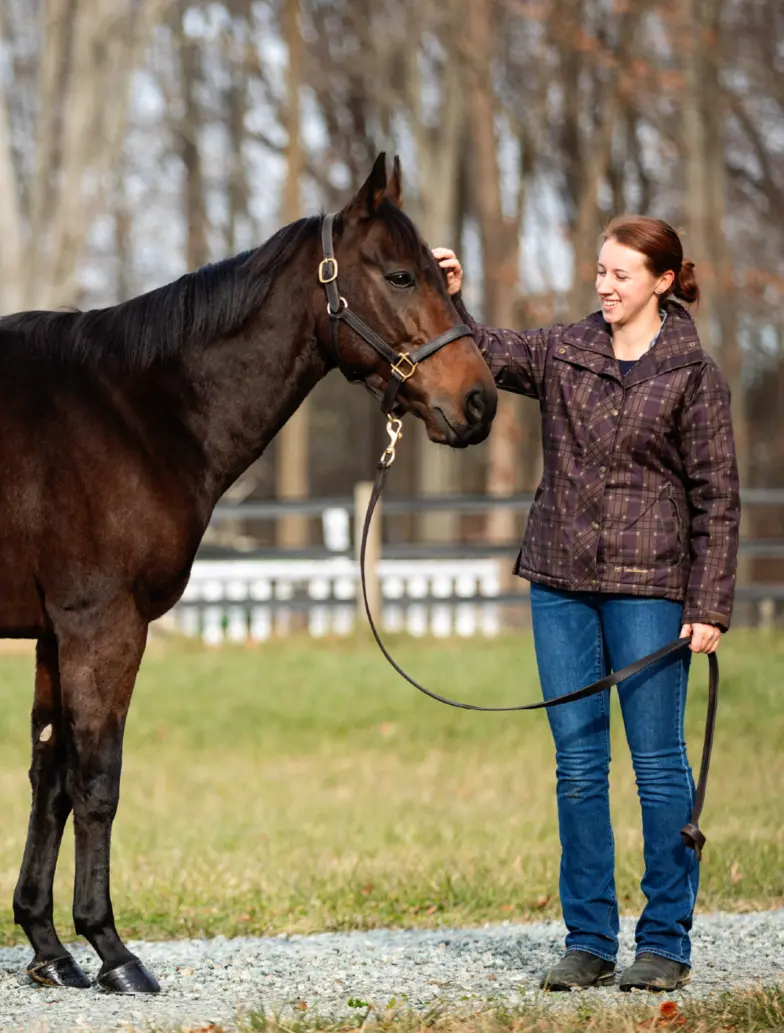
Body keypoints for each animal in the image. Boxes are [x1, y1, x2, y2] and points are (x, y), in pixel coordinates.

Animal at [0, 153, 497, 994]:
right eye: (401, 274)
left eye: (444, 274)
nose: (480, 401)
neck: (132, 411)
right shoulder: (103, 624)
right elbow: (97, 781)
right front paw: (112, 948)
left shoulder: (54, 633)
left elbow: (52, 779)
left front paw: (47, 945)